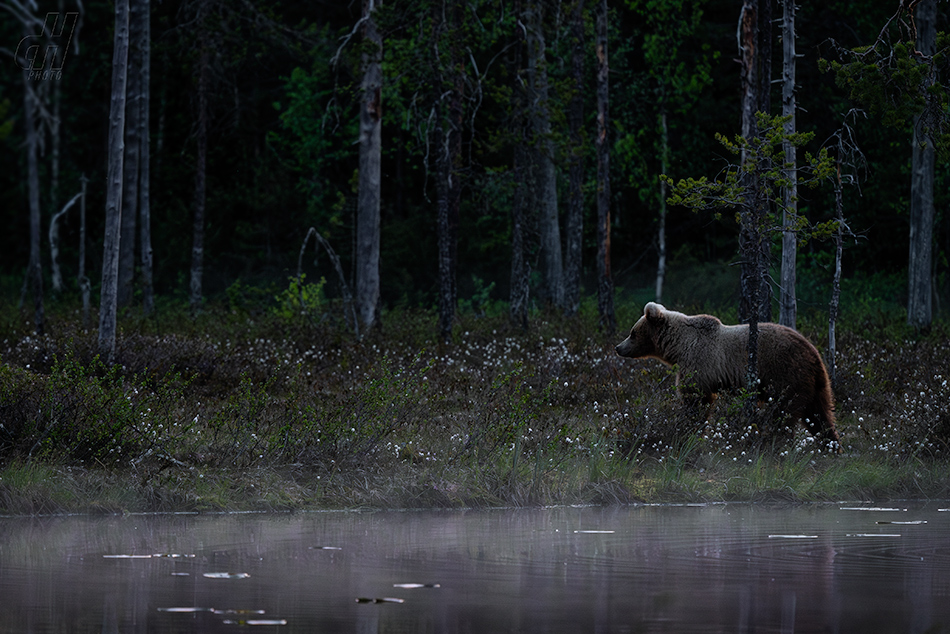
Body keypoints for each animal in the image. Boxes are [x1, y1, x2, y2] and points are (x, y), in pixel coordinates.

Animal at [616, 302, 840, 444]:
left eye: (632, 333)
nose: (618, 347)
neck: (679, 346)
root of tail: (813, 352)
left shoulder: (699, 363)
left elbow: (696, 400)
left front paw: (688, 430)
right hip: (816, 383)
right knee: (820, 414)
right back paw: (831, 446)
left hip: (786, 374)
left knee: (784, 412)